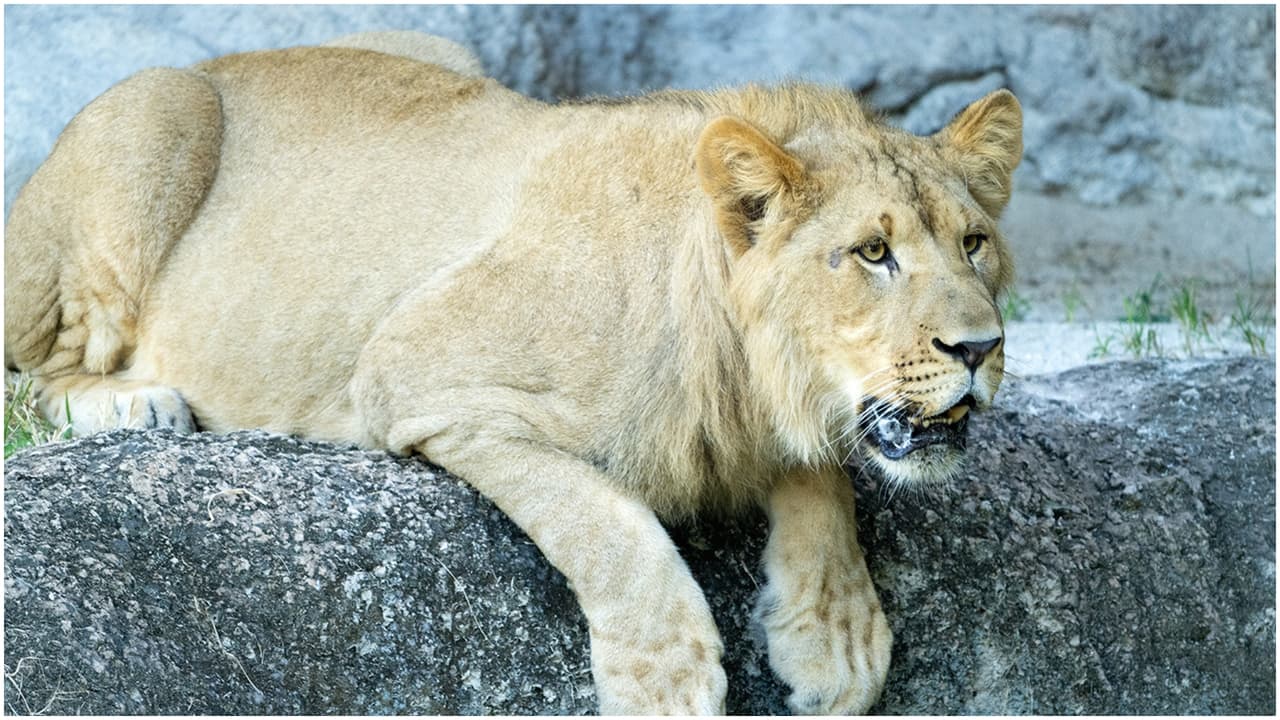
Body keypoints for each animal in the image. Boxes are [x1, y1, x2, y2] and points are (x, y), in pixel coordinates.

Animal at [4, 31, 1021, 714]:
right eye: (874, 253)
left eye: (973, 244)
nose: (980, 348)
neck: (738, 366)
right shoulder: (412, 370)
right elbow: (609, 520)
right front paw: (667, 678)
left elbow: (826, 478)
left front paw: (836, 638)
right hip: (155, 113)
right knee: (35, 374)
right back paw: (136, 404)